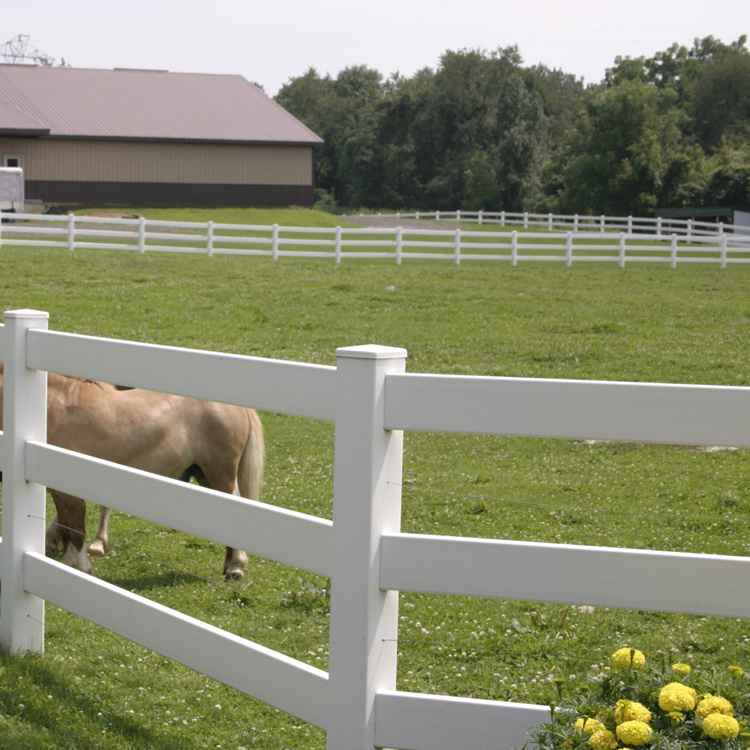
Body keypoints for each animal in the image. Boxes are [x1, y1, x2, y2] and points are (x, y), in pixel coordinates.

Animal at [0, 366, 264, 580]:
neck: (51, 408)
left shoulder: (71, 492)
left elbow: (75, 528)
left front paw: (82, 567)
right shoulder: (58, 489)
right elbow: (66, 526)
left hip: (219, 475)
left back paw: (235, 567)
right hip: (205, 476)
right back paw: (232, 565)